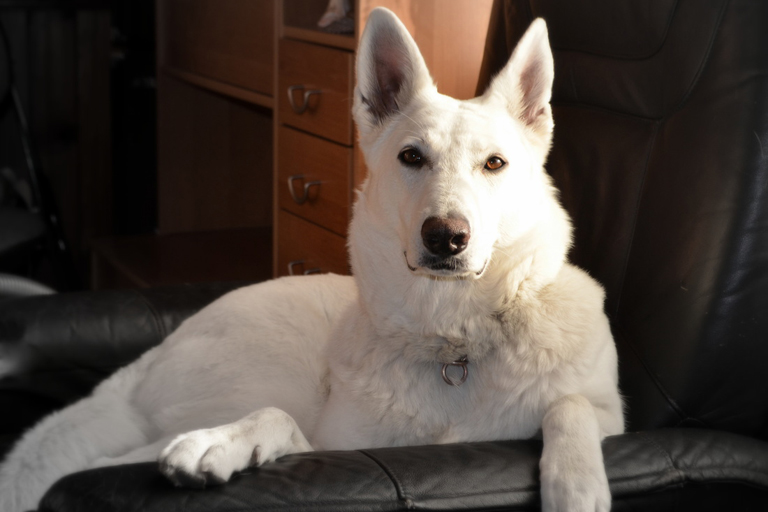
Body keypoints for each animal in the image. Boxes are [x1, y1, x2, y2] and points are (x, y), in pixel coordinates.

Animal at [0, 8, 623, 512]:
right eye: (412, 157)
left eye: (494, 163)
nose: (445, 237)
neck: (454, 346)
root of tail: (154, 353)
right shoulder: (333, 446)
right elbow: (278, 421)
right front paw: (219, 444)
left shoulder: (607, 414)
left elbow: (571, 406)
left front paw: (576, 485)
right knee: (107, 462)